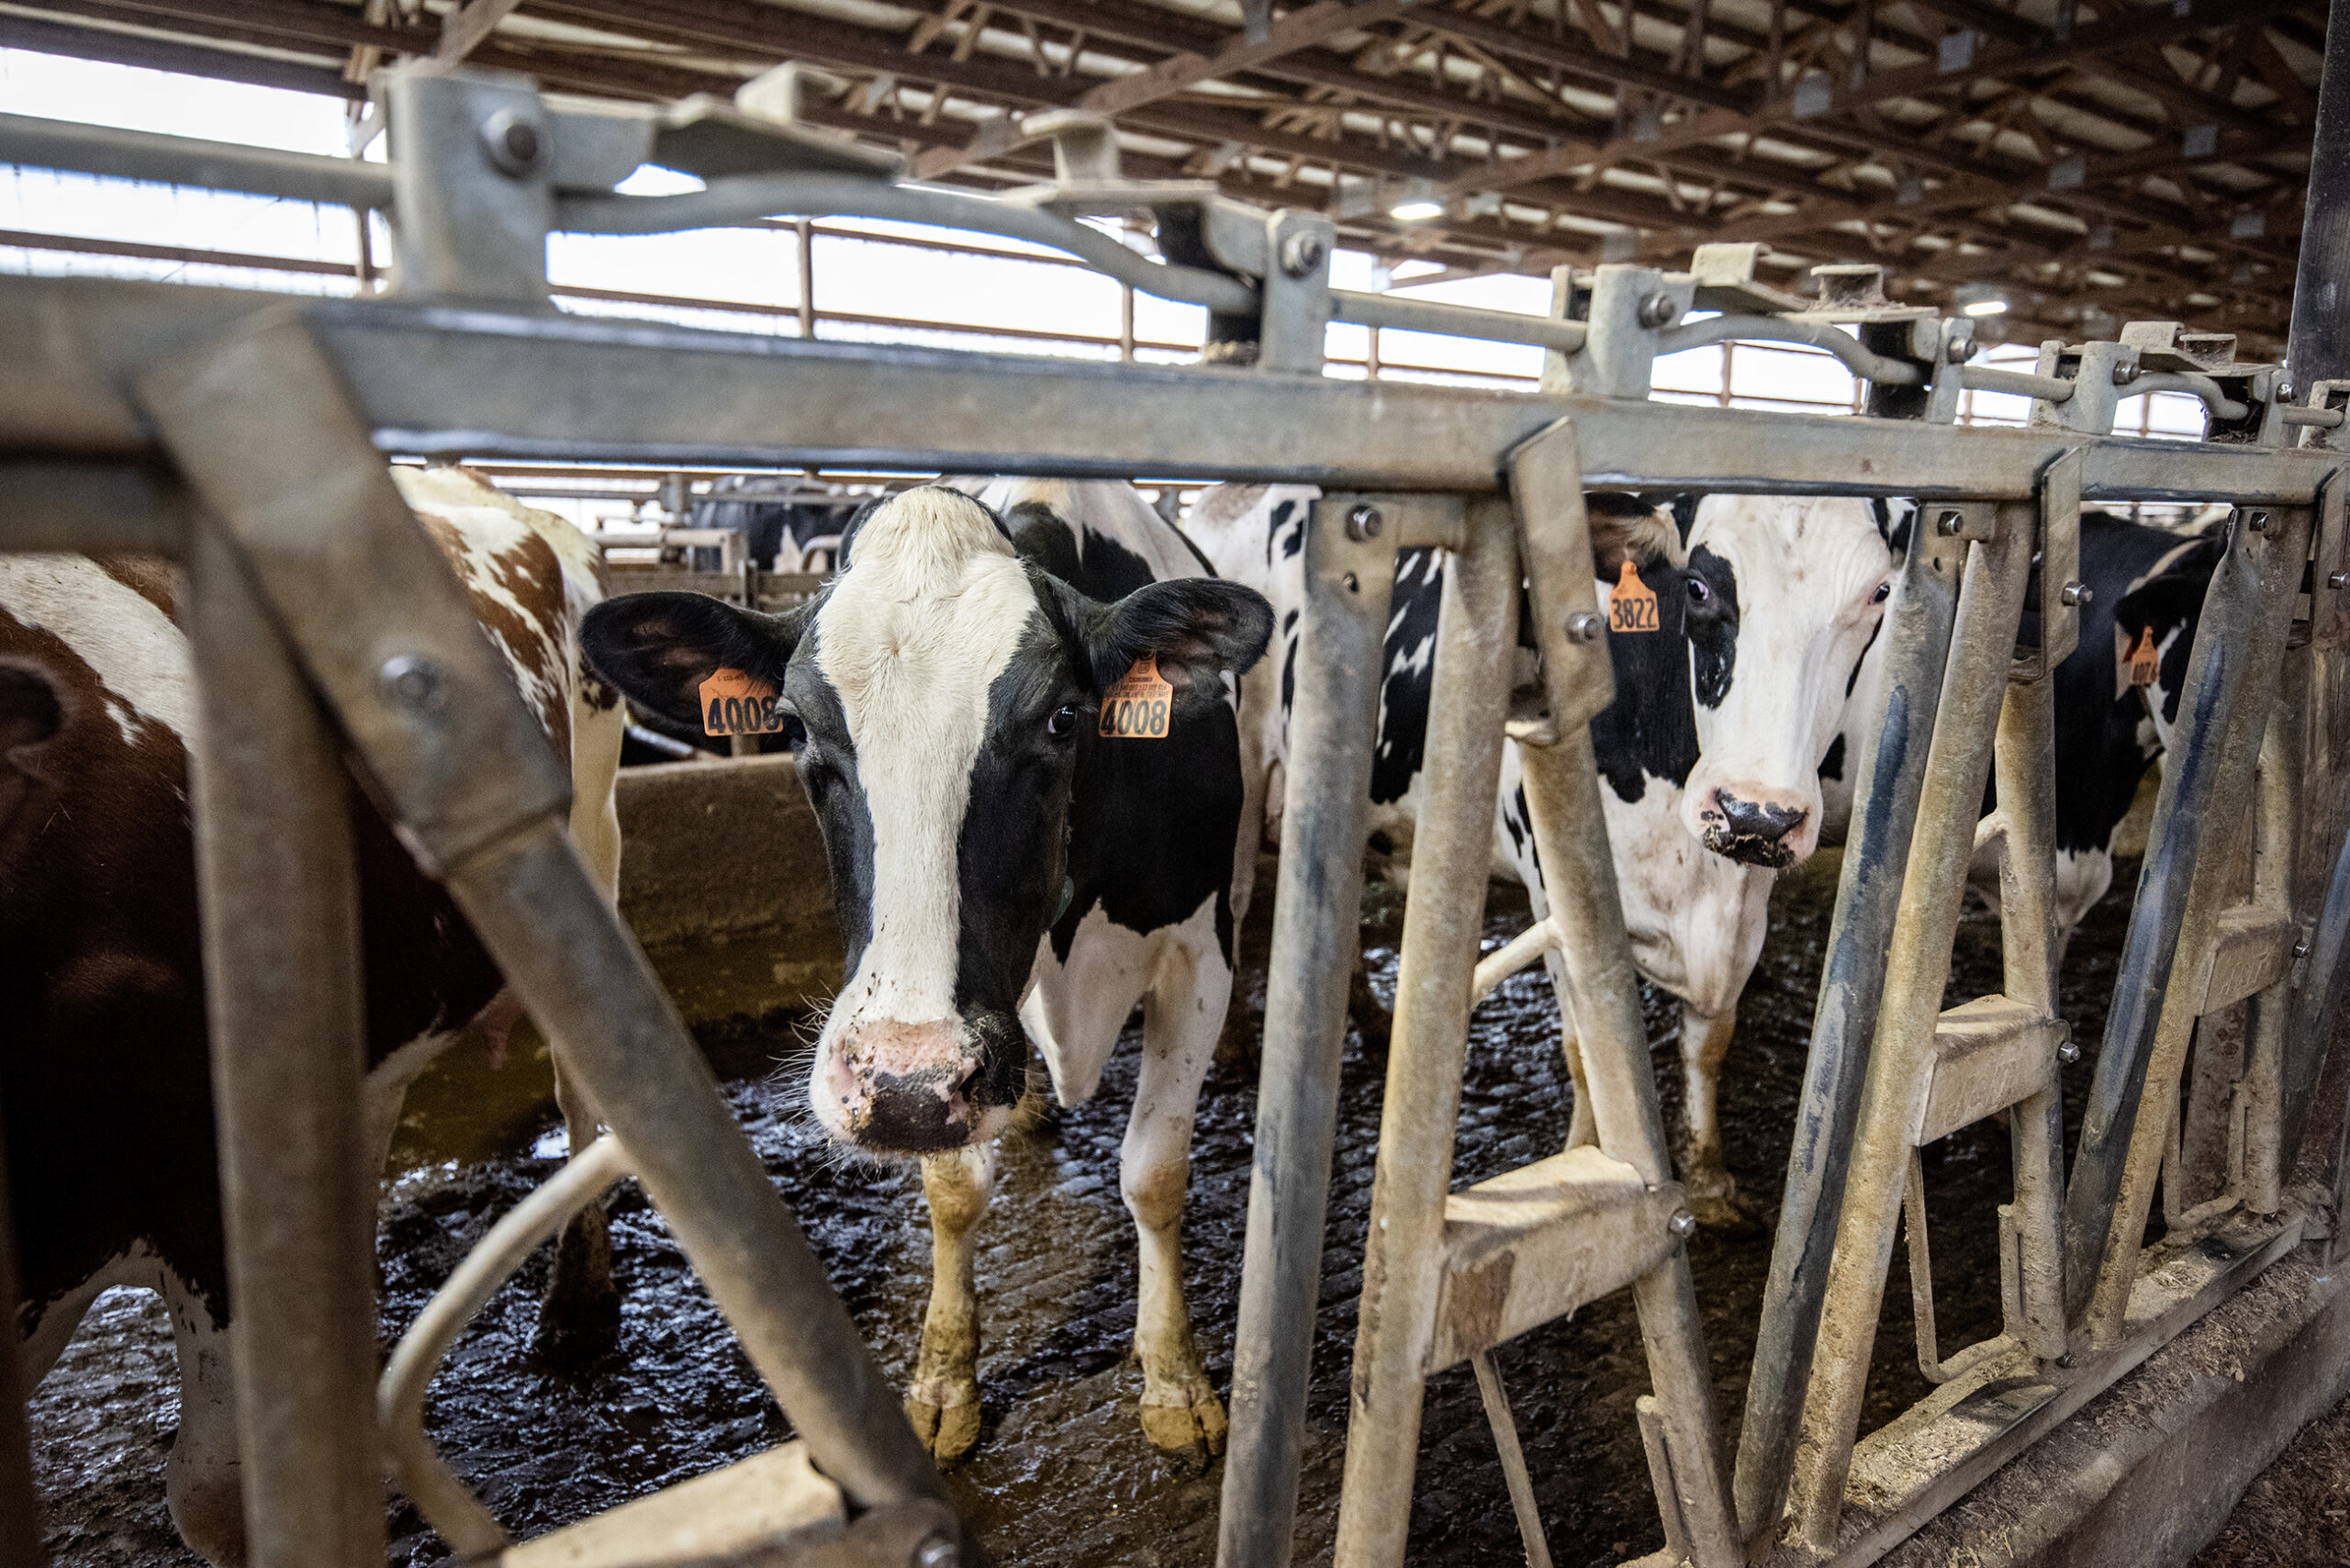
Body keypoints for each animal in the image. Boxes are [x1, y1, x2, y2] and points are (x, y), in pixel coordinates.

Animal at [585, 484, 1278, 1466]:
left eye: (1063, 717)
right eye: (792, 726)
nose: (908, 1081)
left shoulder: (1197, 953)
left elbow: (1154, 1173)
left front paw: (1174, 1378)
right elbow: (953, 1192)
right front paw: (945, 1378)